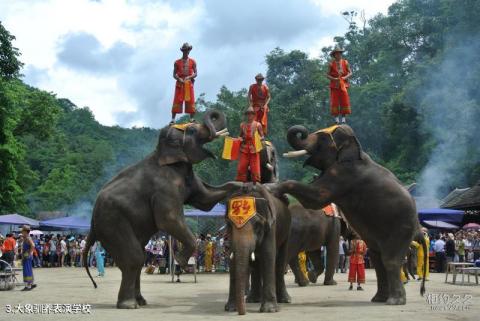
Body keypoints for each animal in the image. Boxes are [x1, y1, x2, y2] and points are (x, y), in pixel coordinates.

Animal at [81, 110, 244, 308]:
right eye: (191, 130)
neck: (161, 151)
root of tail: (92, 221)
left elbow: (206, 200)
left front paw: (244, 185)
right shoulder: (164, 186)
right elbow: (168, 219)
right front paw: (181, 261)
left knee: (139, 256)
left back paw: (141, 301)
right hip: (111, 222)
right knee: (134, 258)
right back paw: (129, 305)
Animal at [224, 184, 290, 314]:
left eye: (257, 225)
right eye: (229, 225)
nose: (242, 313)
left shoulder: (271, 226)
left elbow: (268, 254)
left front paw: (270, 310)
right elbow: (233, 259)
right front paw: (230, 309)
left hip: (287, 231)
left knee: (280, 261)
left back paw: (285, 300)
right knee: (256, 265)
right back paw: (253, 300)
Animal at [274, 124, 428, 304]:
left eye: (322, 139)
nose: (301, 132)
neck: (356, 147)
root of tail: (417, 225)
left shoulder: (343, 174)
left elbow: (317, 197)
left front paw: (273, 188)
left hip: (401, 229)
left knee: (390, 261)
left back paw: (393, 301)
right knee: (378, 260)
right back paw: (379, 299)